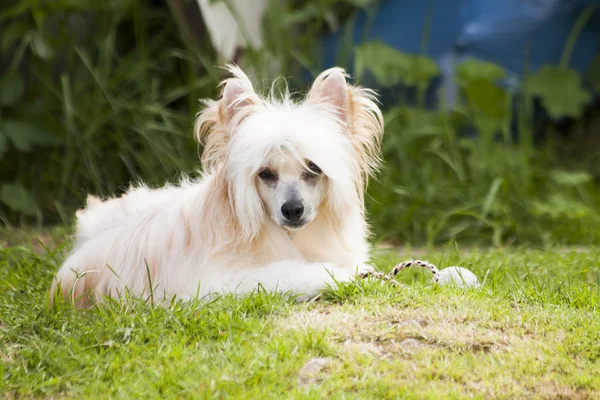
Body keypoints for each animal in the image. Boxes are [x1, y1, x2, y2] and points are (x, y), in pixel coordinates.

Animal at [49, 65, 382, 306]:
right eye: (265, 174)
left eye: (313, 168)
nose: (292, 209)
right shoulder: (216, 282)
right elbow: (288, 275)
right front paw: (333, 276)